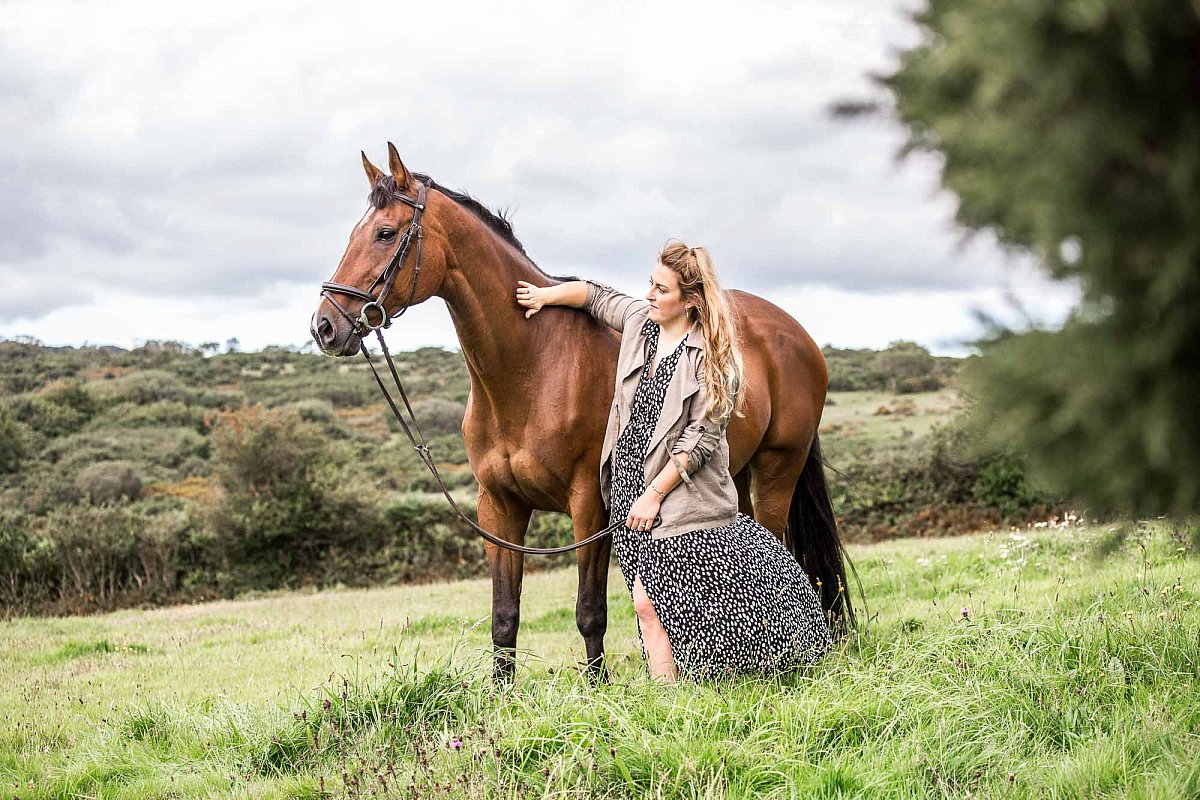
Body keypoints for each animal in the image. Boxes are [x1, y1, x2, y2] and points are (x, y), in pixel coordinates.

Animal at [309, 142, 854, 676]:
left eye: (385, 233)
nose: (325, 326)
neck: (533, 366)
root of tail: (794, 332)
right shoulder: (498, 508)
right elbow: (504, 616)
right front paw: (502, 696)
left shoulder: (590, 506)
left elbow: (590, 611)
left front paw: (596, 688)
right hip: (733, 474)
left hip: (778, 468)